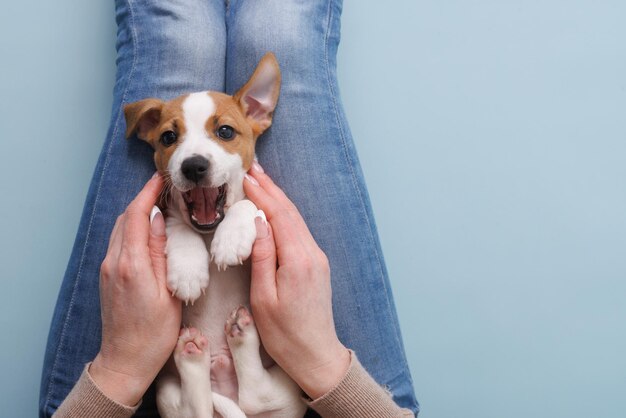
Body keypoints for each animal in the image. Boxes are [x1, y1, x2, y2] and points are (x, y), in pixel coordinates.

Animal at [123, 54, 304, 418]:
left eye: (225, 131)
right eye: (168, 137)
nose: (193, 166)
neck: (208, 234)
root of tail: (226, 387)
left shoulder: (269, 216)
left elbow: (248, 204)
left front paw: (231, 238)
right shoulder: (169, 216)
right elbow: (178, 226)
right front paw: (188, 271)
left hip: (289, 385)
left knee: (257, 393)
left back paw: (240, 335)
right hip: (167, 391)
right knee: (199, 406)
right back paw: (194, 354)